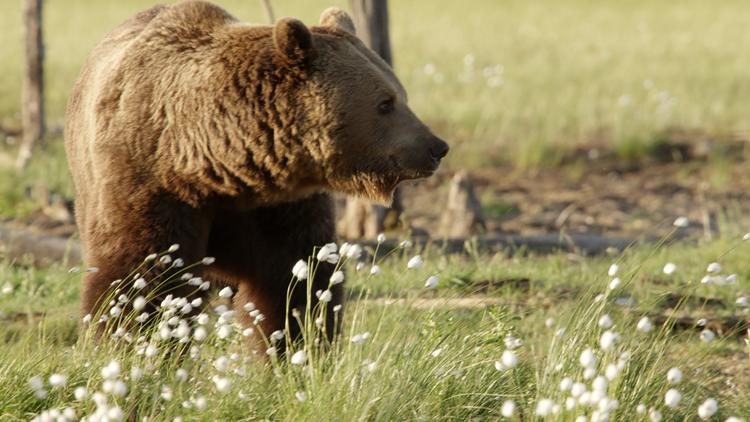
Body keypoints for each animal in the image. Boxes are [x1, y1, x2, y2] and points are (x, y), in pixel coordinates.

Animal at [63, 0, 446, 346]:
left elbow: (293, 278)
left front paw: (298, 344)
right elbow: (142, 275)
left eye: (401, 94)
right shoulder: (149, 183)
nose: (436, 147)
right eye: (385, 103)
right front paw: (135, 344)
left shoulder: (277, 205)